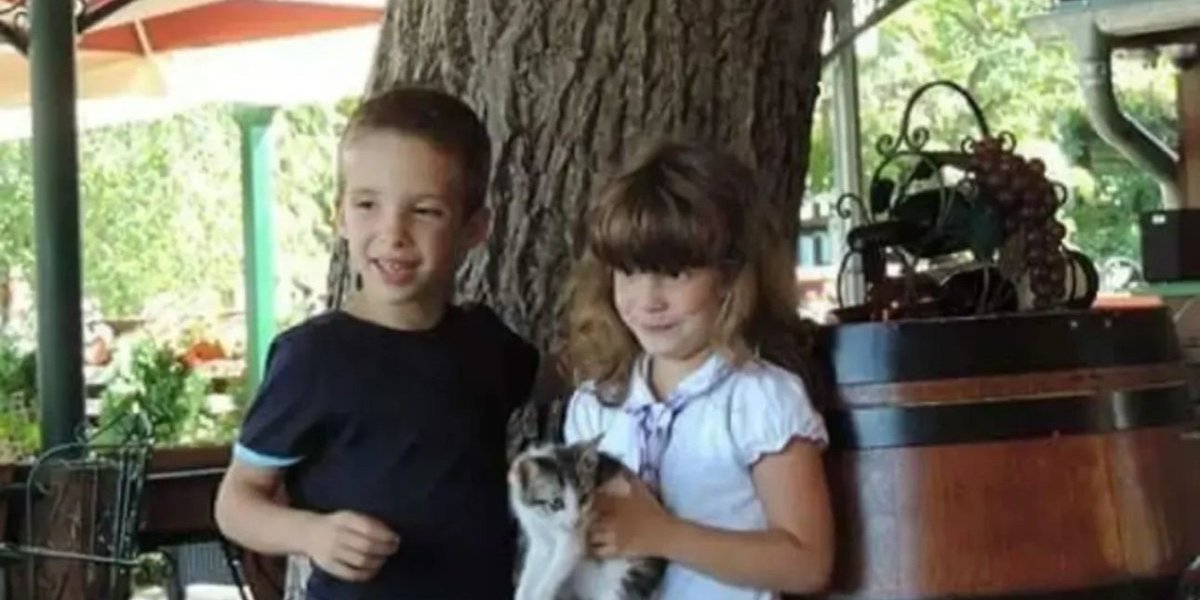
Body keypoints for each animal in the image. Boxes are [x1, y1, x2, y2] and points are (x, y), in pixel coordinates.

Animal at [508, 436, 666, 600]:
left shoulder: (573, 539)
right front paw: (522, 592)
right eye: (556, 503)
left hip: (629, 578)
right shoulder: (538, 534)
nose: (576, 520)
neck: (545, 518)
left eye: (583, 498)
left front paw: (540, 593)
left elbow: (554, 572)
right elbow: (532, 569)